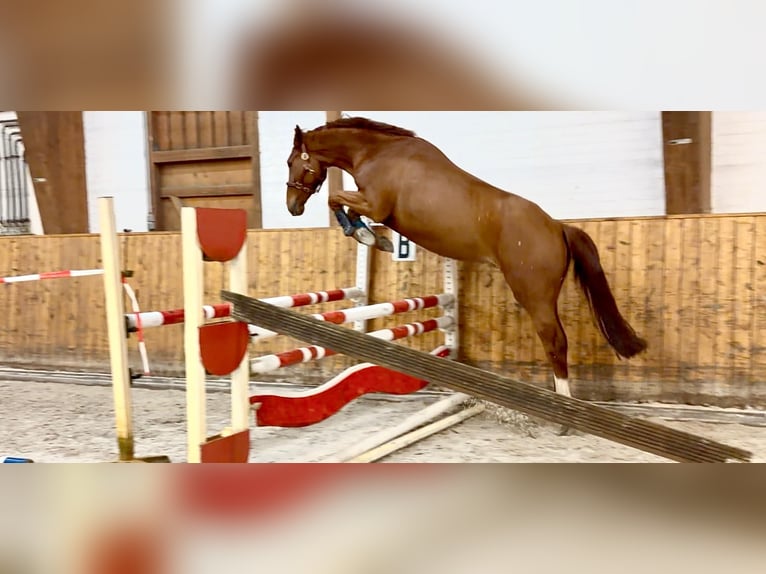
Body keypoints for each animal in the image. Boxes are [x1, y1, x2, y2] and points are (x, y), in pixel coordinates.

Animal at [285, 116, 647, 397]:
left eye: (291, 162)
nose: (293, 207)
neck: (377, 153)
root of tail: (557, 226)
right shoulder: (371, 205)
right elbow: (343, 205)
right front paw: (373, 237)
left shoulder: (374, 205)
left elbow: (336, 199)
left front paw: (365, 234)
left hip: (535, 297)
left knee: (556, 342)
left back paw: (562, 411)